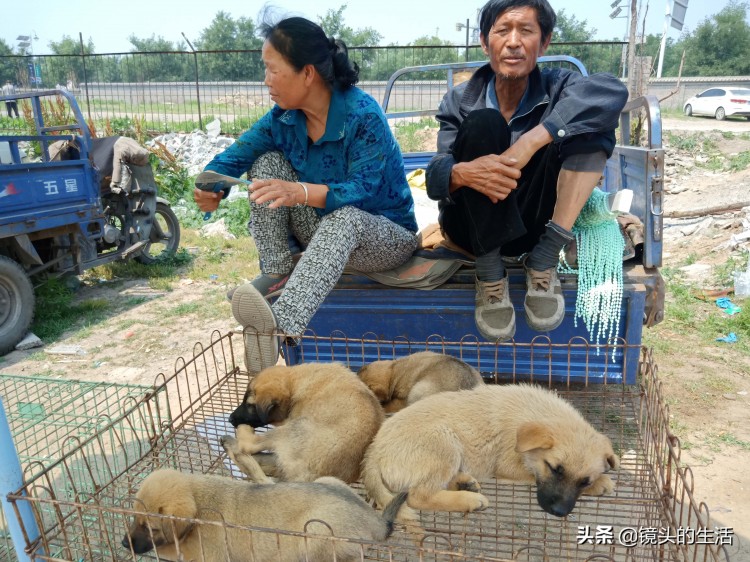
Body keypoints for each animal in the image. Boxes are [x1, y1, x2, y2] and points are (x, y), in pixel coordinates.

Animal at [122, 466, 408, 560]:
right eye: (134, 518)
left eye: (151, 528)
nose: (124, 544)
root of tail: (373, 520)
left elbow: (169, 548)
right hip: (329, 481)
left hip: (316, 535)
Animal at [223, 364, 384, 482]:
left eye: (250, 406)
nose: (230, 419)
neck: (295, 382)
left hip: (296, 428)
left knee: (248, 445)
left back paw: (239, 434)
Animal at [362, 382, 620, 524]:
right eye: (555, 469)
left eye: (584, 481)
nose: (558, 513)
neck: (535, 412)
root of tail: (374, 451)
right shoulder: (508, 466)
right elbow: (532, 474)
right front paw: (603, 482)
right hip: (444, 441)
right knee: (419, 496)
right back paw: (469, 500)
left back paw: (464, 483)